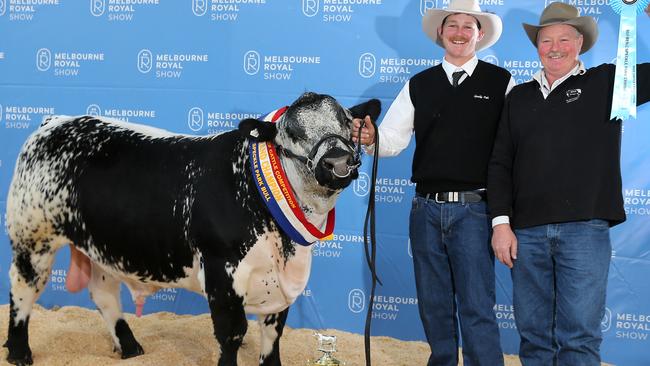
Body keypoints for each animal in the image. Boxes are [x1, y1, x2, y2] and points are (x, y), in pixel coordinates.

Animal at [2, 92, 380, 366]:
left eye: (346, 121)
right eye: (293, 131)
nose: (338, 161)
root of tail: (55, 121)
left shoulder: (278, 286)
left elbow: (272, 338)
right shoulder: (222, 275)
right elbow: (232, 334)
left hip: (101, 245)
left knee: (103, 293)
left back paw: (130, 347)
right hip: (32, 237)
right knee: (22, 289)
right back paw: (19, 352)